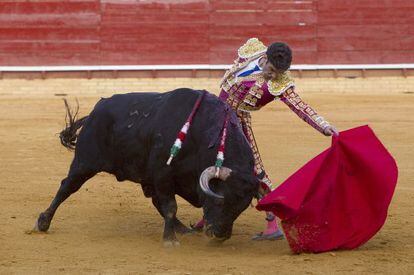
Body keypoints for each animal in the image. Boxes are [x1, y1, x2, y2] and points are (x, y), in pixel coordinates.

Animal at [34, 88, 258, 246]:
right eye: (220, 201)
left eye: (241, 207)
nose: (220, 235)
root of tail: (94, 113)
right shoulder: (163, 174)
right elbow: (170, 206)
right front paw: (169, 240)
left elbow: (166, 206)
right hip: (84, 163)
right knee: (66, 187)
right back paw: (43, 222)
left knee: (155, 201)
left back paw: (183, 229)